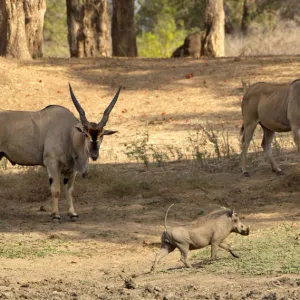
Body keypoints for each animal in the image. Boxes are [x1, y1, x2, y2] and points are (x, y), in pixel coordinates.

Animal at [0, 83, 122, 221]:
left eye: (101, 135)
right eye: (85, 134)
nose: (94, 154)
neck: (69, 132)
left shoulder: (72, 170)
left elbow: (69, 190)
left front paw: (72, 213)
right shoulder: (52, 164)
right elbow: (56, 189)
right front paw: (55, 215)